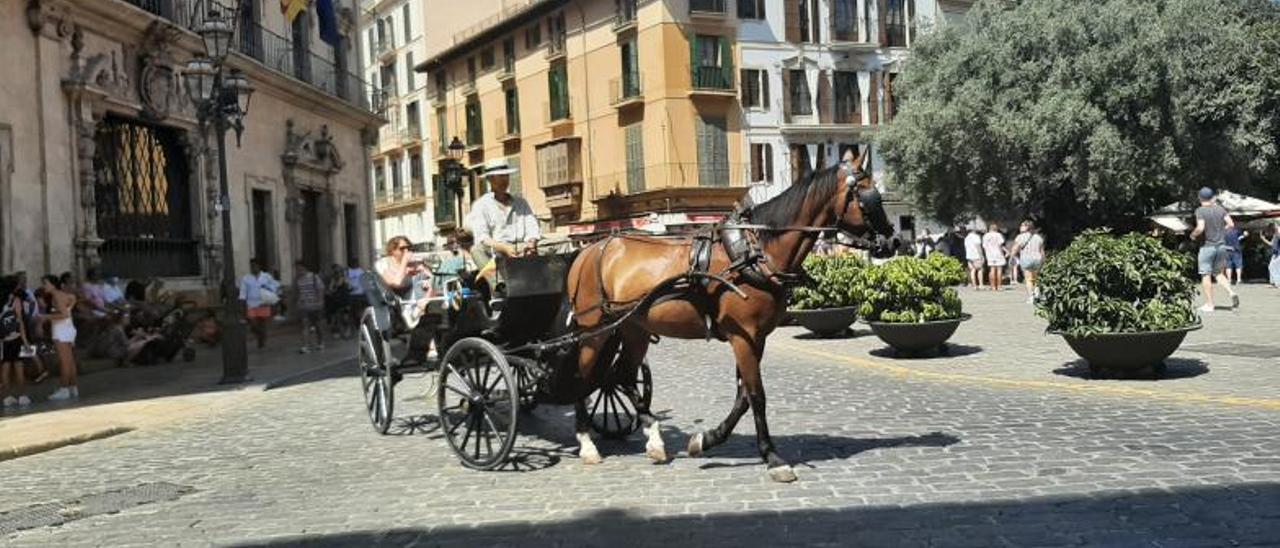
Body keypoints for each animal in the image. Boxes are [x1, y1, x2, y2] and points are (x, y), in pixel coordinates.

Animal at [568, 148, 890, 478]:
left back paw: (654, 439)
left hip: (634, 329)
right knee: (583, 376)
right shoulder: (742, 336)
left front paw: (706, 439)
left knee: (622, 376)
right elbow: (756, 395)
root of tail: (588, 251)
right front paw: (772, 456)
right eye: (867, 195)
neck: (755, 253)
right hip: (594, 331)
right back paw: (587, 443)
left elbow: (743, 396)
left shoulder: (757, 338)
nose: (893, 240)